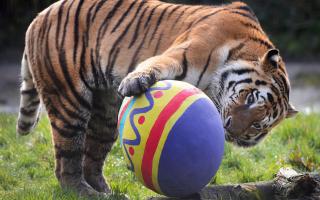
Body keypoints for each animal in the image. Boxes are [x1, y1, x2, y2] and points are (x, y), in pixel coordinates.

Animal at [16, 0, 298, 197]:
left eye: (257, 125)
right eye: (249, 97)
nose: (230, 129)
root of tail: (40, 15)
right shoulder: (185, 51)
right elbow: (156, 64)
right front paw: (135, 81)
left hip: (105, 115)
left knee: (92, 156)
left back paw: (106, 193)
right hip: (69, 100)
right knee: (67, 157)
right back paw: (83, 192)